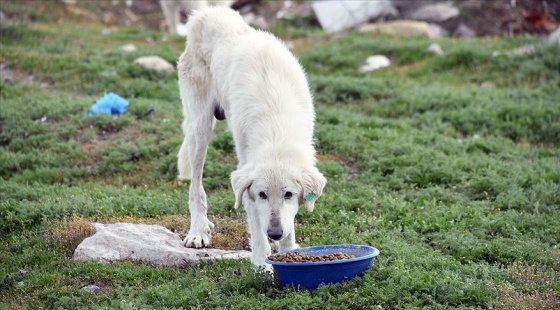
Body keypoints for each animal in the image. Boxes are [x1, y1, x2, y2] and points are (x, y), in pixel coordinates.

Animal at [177, 7, 326, 266]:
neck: (277, 130)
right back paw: (198, 231)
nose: (274, 233)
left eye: (288, 194)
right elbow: (256, 228)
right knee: (196, 187)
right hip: (201, 129)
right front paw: (260, 264)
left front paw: (289, 252)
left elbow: (290, 224)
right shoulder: (246, 178)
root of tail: (206, 12)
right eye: (262, 194)